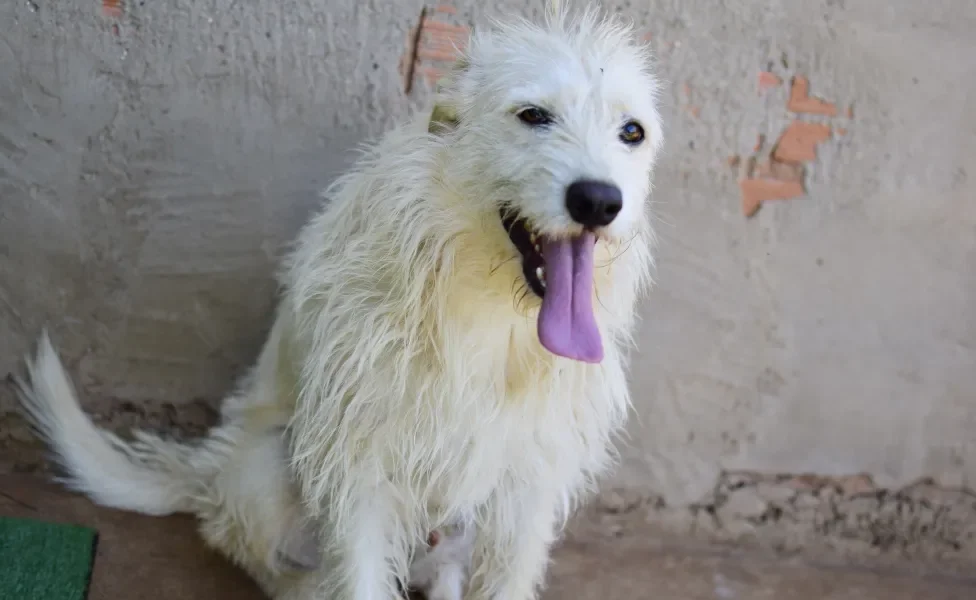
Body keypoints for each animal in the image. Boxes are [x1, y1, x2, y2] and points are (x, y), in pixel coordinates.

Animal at [15, 2, 668, 596]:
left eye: (631, 131)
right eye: (533, 114)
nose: (598, 200)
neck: (490, 308)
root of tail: (209, 474)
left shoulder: (530, 481)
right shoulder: (361, 467)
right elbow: (357, 573)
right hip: (268, 472)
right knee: (278, 567)